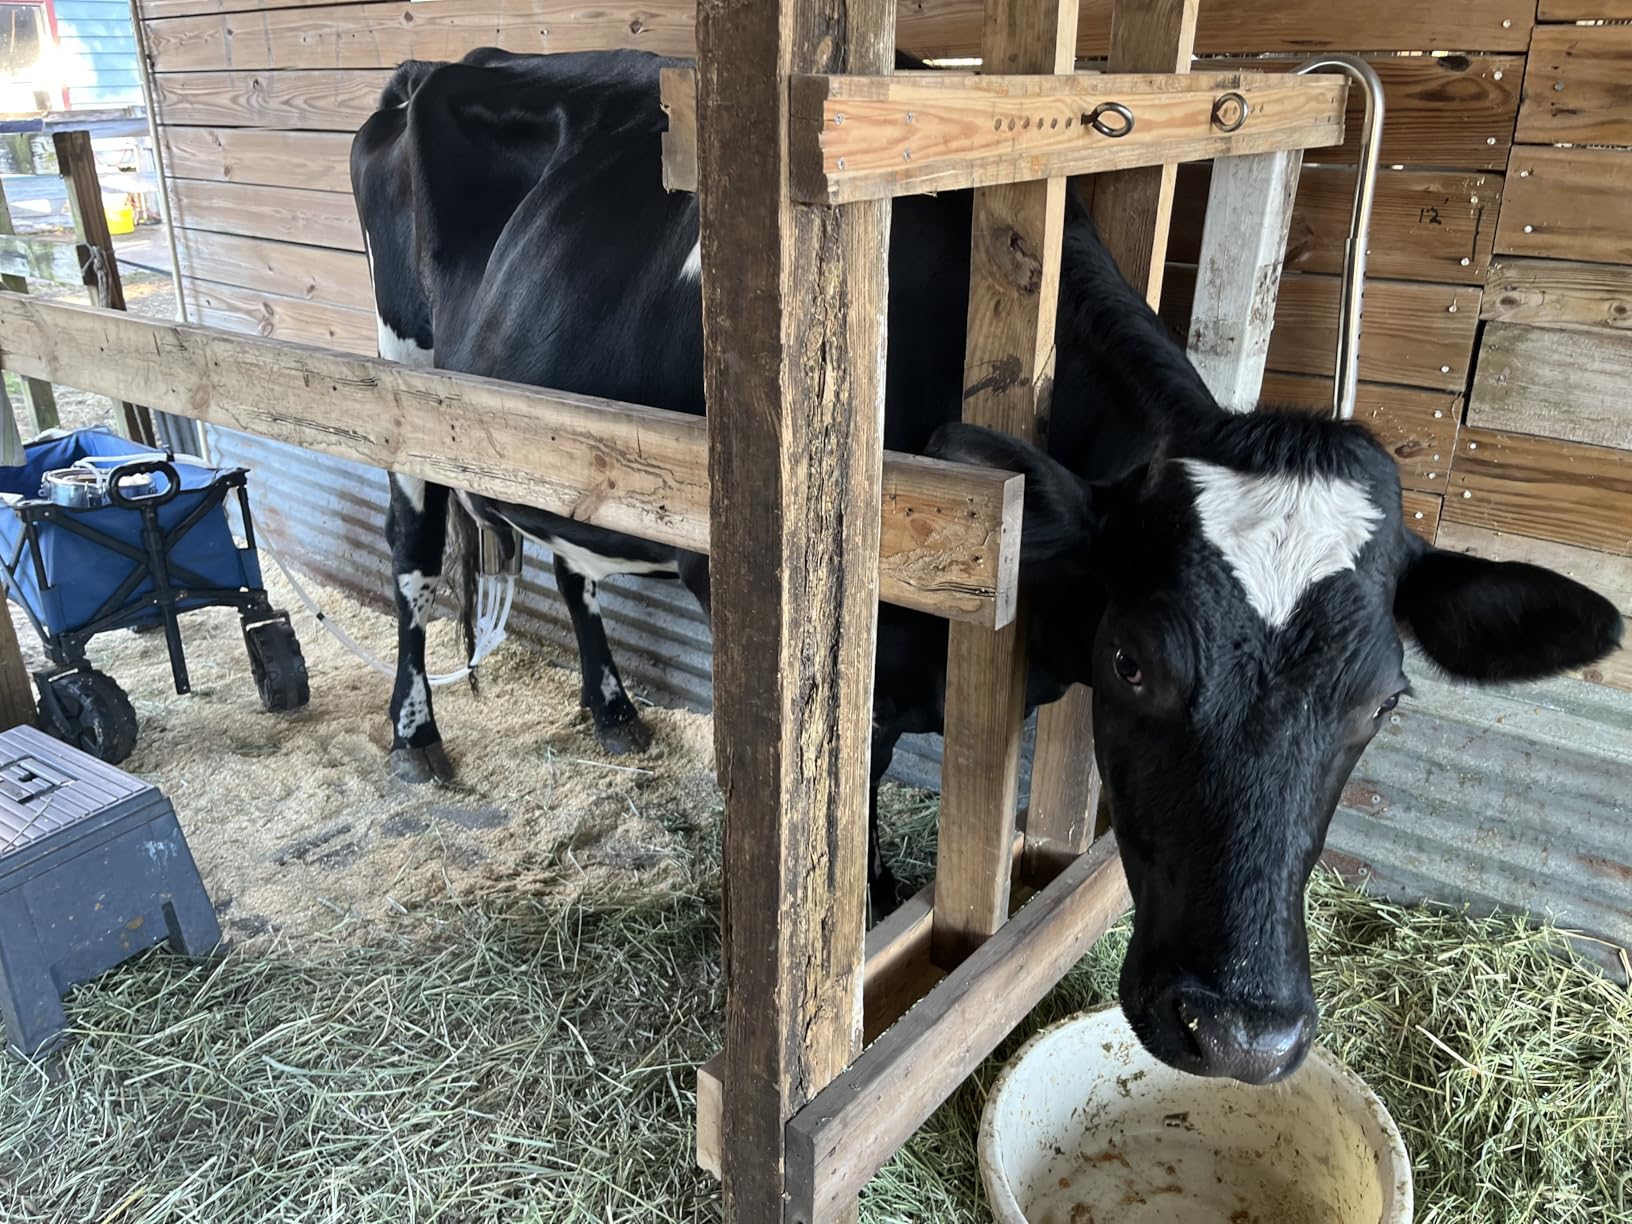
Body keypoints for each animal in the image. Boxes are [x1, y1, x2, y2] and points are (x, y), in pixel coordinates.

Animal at [351, 48, 1622, 1085]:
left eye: (1385, 702)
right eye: (1136, 662)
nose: (1243, 1036)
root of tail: (448, 60)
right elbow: (852, 869)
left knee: (566, 554)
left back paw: (613, 710)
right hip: (403, 384)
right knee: (411, 558)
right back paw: (417, 735)